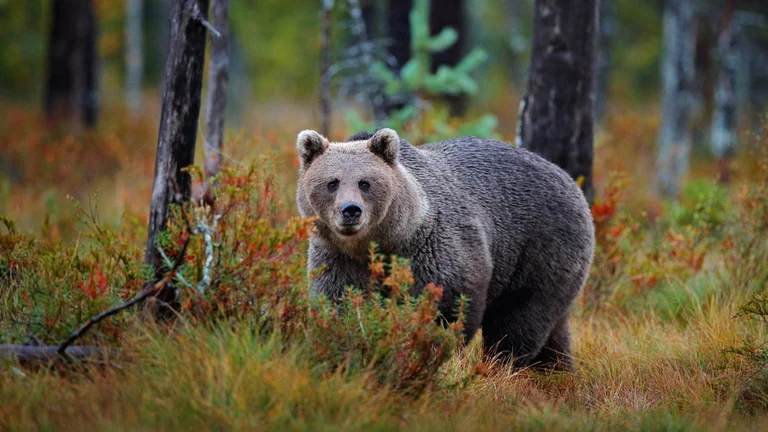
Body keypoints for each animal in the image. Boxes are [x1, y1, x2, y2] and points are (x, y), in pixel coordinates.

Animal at [295, 128, 595, 369]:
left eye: (365, 182)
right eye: (332, 182)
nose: (351, 210)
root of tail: (570, 181)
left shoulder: (435, 249)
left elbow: (449, 306)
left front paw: (427, 350)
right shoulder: (338, 257)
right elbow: (338, 300)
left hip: (541, 249)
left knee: (519, 318)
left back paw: (502, 365)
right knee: (554, 331)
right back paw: (557, 370)